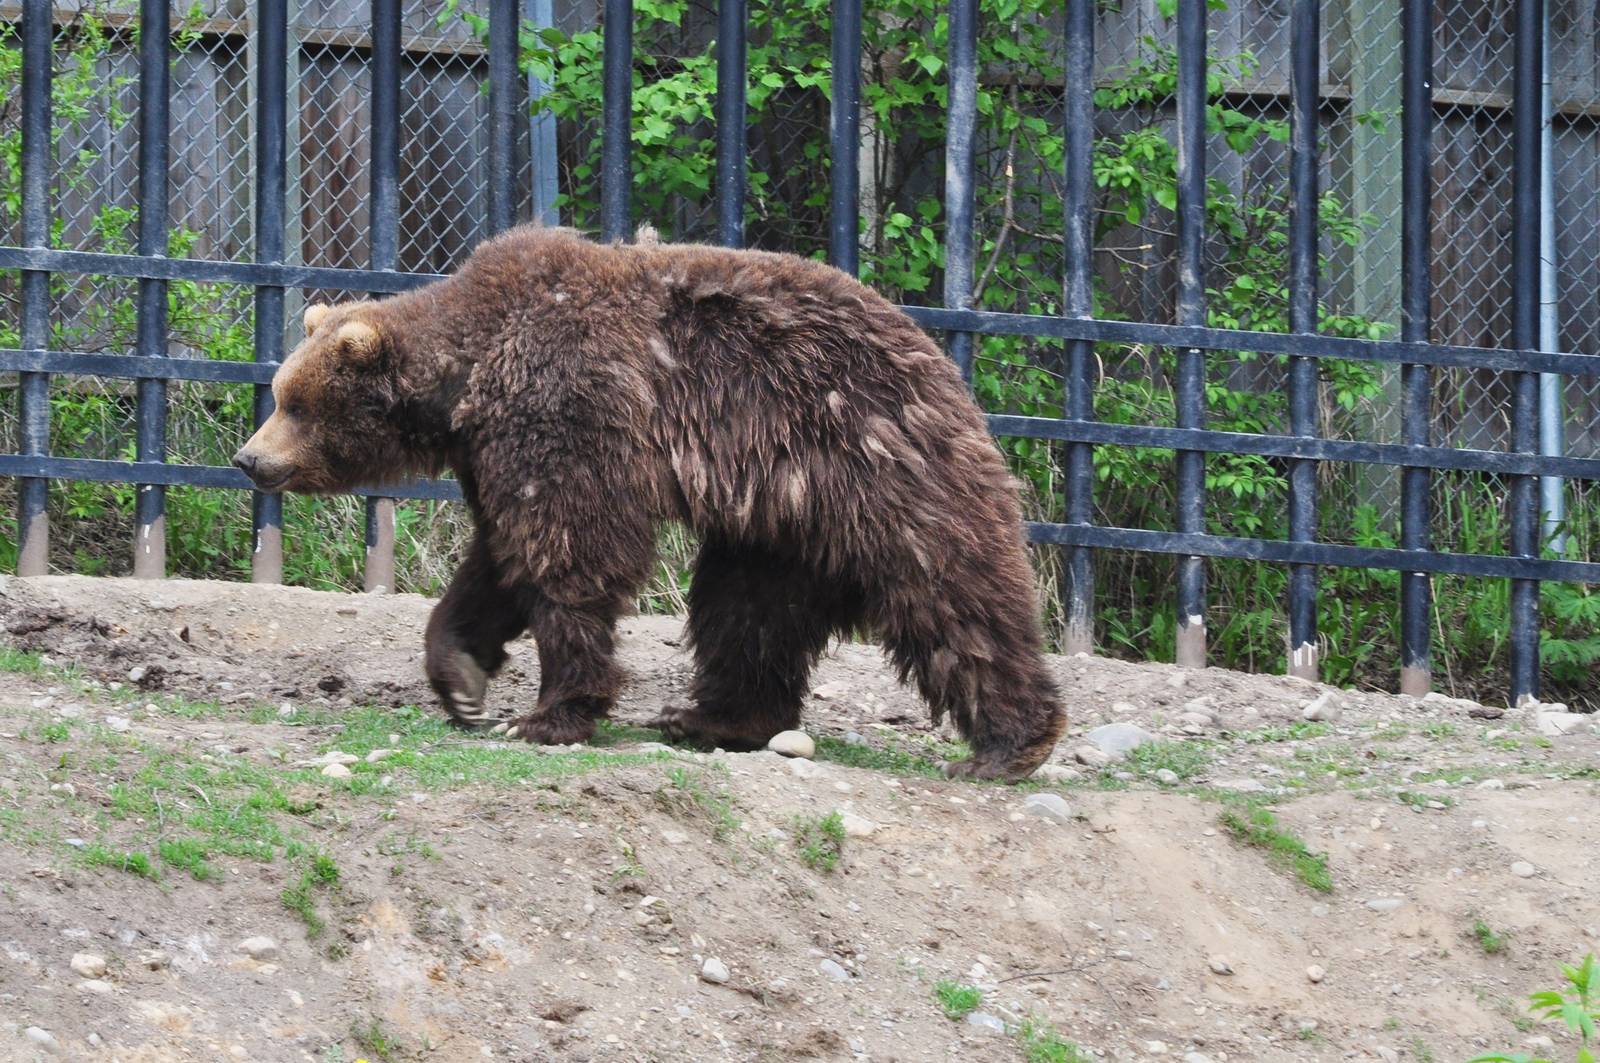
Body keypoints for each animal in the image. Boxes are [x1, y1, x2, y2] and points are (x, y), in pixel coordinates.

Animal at [233, 225, 1066, 781]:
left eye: (295, 403)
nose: (249, 458)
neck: (466, 378)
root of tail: (942, 361)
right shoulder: (496, 453)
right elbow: (497, 561)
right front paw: (463, 678)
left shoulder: (565, 409)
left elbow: (568, 554)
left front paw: (552, 711)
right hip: (779, 519)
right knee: (749, 610)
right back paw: (712, 715)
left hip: (871, 460)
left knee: (951, 593)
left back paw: (1009, 744)